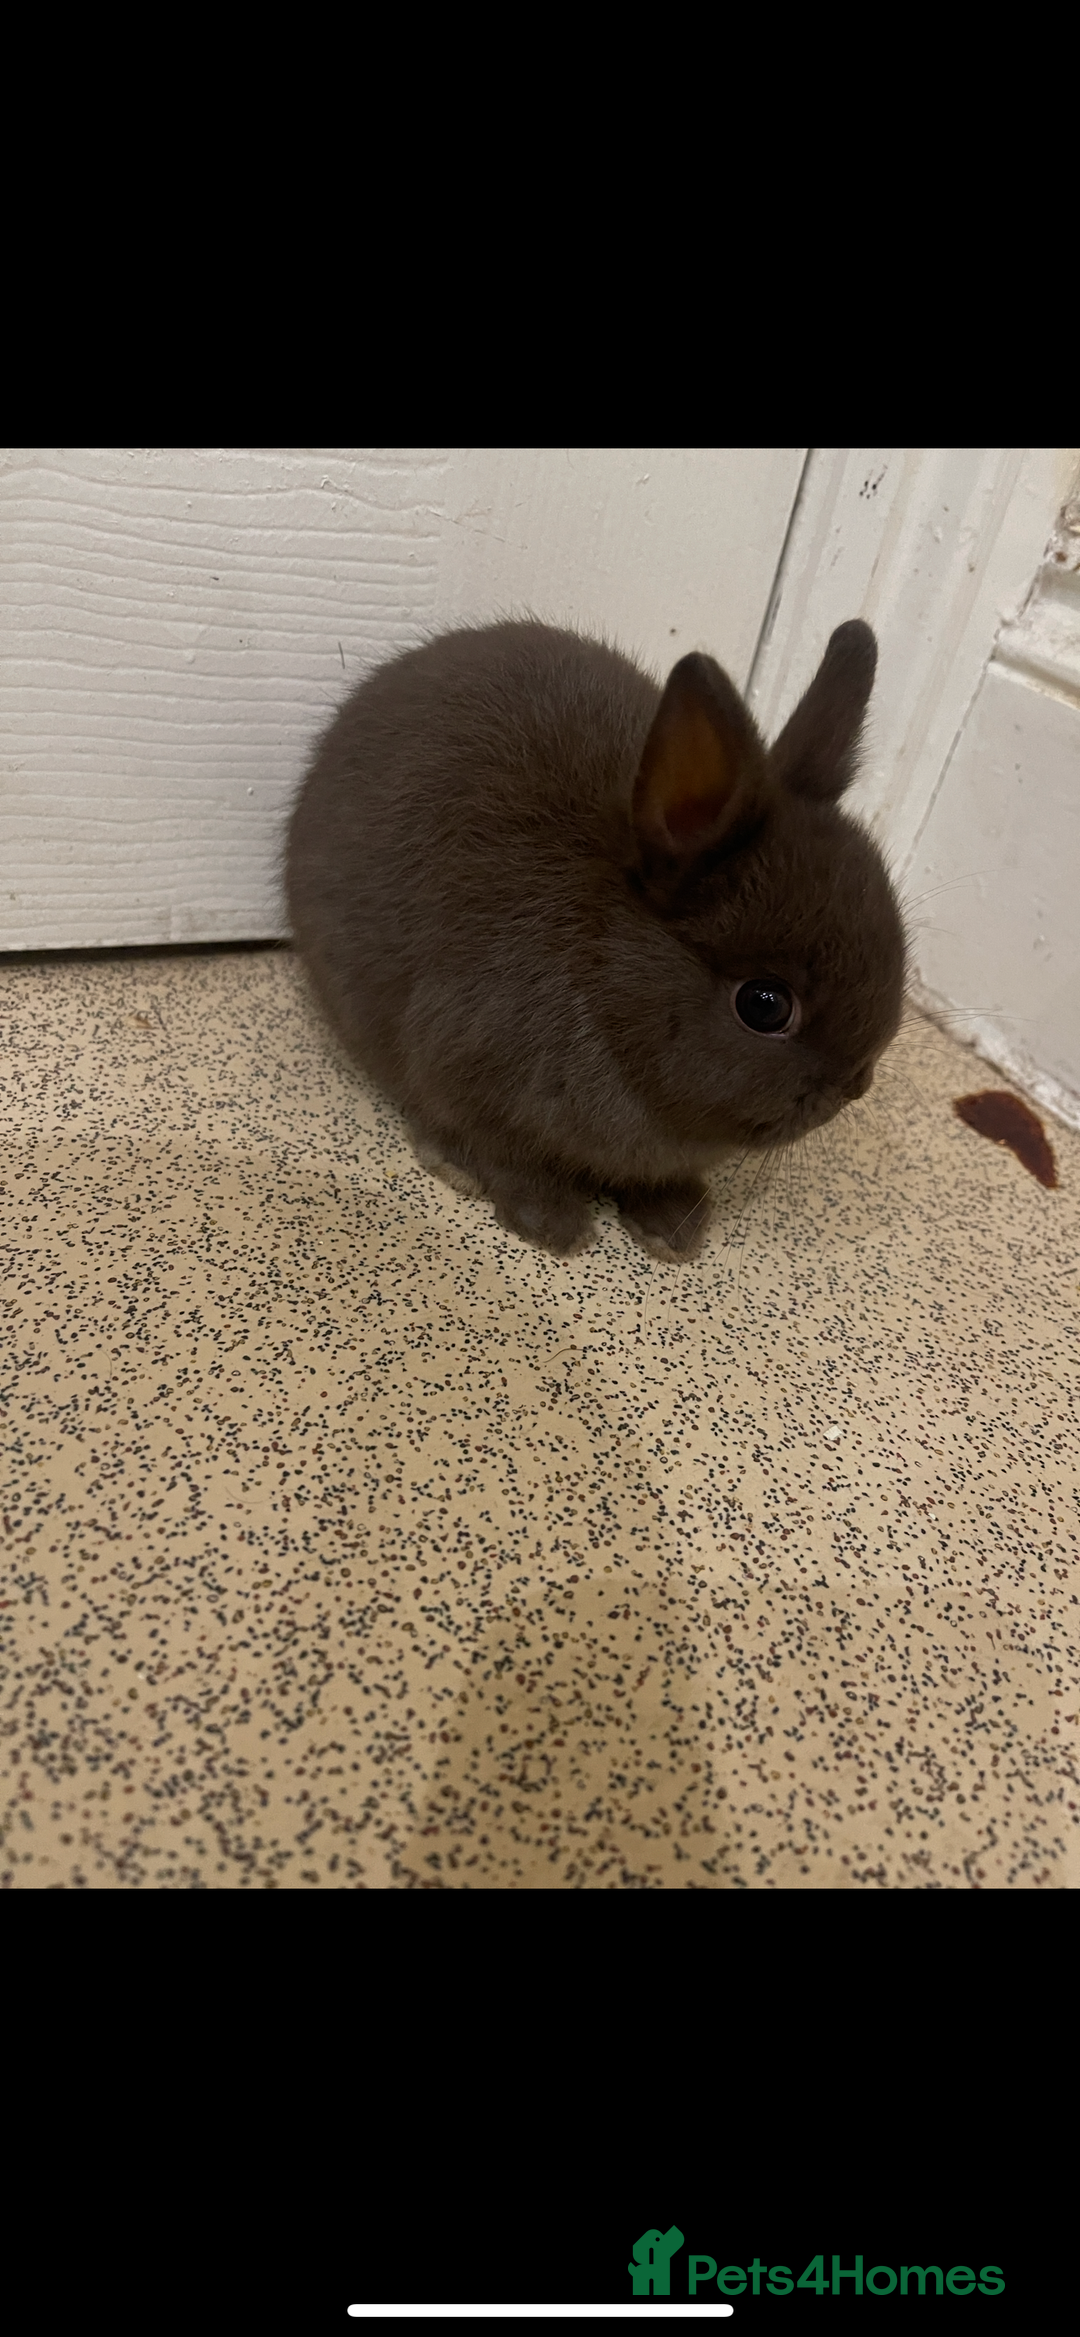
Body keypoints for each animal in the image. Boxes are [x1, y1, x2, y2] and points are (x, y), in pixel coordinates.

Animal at [285, 616, 906, 1261]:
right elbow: (502, 1154)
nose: (854, 1086)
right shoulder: (461, 1070)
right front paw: (551, 1223)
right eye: (765, 1005)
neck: (605, 976)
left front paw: (674, 1229)